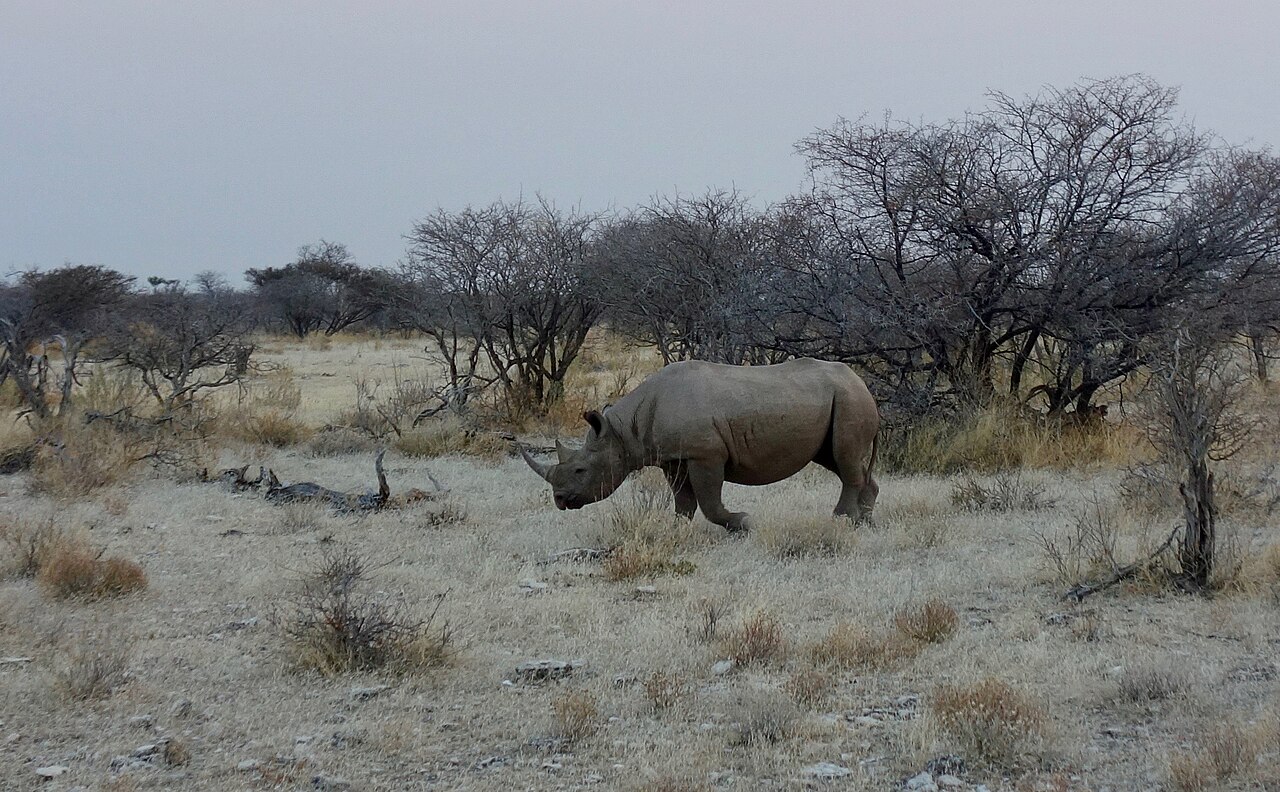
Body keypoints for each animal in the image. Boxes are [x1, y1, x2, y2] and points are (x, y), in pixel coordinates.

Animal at [522, 358, 879, 531]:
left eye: (581, 470)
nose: (560, 500)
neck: (622, 430)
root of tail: (862, 383)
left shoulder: (705, 454)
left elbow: (709, 502)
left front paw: (743, 523)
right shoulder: (673, 457)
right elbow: (683, 501)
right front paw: (676, 528)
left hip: (848, 399)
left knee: (844, 459)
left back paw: (840, 520)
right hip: (841, 399)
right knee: (839, 460)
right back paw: (863, 521)